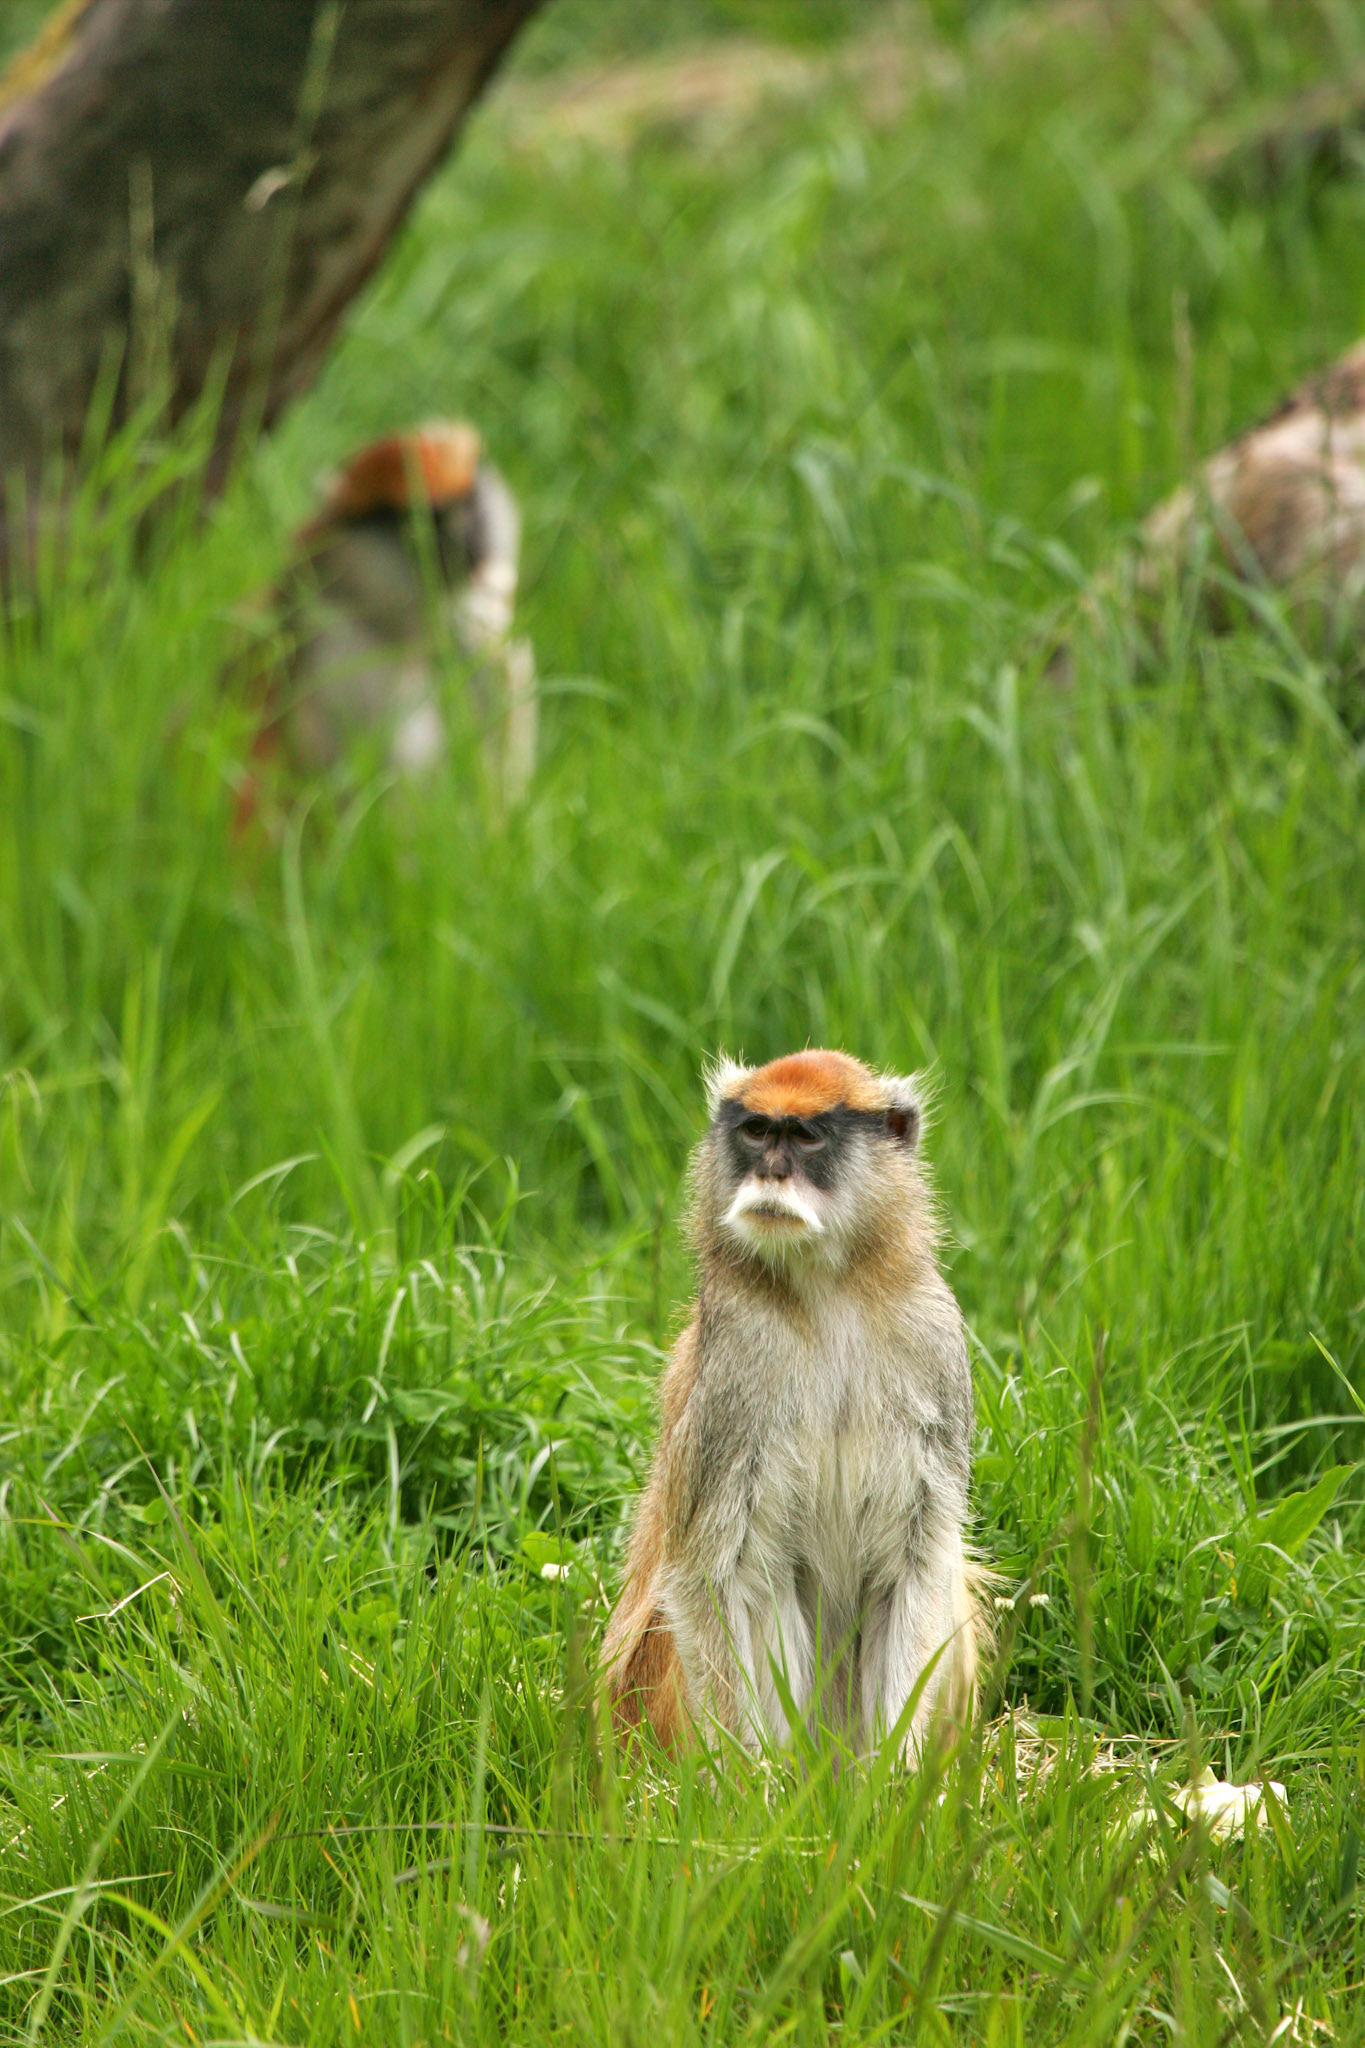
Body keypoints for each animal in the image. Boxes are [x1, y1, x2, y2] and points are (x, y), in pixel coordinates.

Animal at [602, 1049, 985, 1764]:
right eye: (756, 1131)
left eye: (805, 1137)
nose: (771, 1171)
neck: (827, 1291)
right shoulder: (737, 1370)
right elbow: (707, 1579)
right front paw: (752, 1787)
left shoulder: (934, 1342)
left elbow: (917, 1565)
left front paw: (897, 1780)